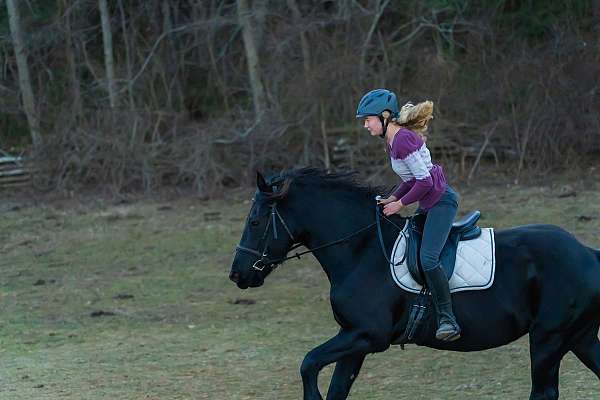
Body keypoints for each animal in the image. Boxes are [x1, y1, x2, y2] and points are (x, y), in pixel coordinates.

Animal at [230, 167, 600, 398]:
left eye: (256, 221)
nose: (237, 274)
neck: (361, 251)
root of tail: (587, 253)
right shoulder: (354, 340)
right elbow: (333, 387)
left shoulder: (367, 336)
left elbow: (308, 363)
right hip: (578, 338)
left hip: (548, 339)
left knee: (543, 392)